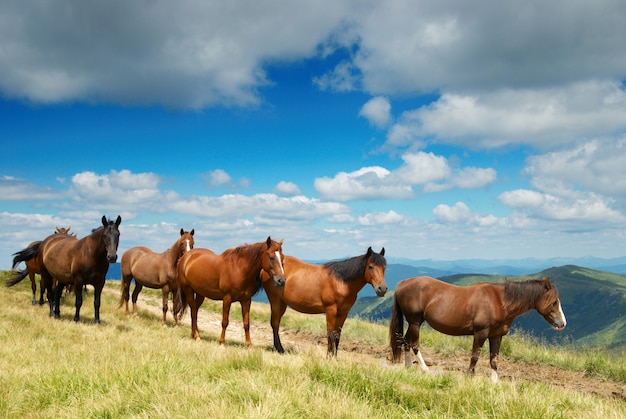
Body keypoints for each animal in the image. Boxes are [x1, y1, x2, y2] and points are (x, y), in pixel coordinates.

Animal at [258, 248, 386, 360]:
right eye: (370, 266)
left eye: (384, 267)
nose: (382, 289)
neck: (340, 282)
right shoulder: (331, 310)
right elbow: (330, 334)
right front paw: (328, 357)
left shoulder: (343, 313)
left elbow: (337, 335)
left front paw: (335, 358)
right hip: (275, 300)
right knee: (275, 324)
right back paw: (280, 349)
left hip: (282, 303)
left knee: (276, 323)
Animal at [386, 278, 564, 382]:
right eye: (554, 301)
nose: (562, 324)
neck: (500, 302)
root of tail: (402, 284)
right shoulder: (481, 333)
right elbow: (475, 356)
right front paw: (469, 377)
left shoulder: (496, 336)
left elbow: (494, 359)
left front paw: (494, 383)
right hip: (415, 322)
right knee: (414, 344)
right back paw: (425, 369)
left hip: (413, 323)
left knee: (406, 342)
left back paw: (409, 367)